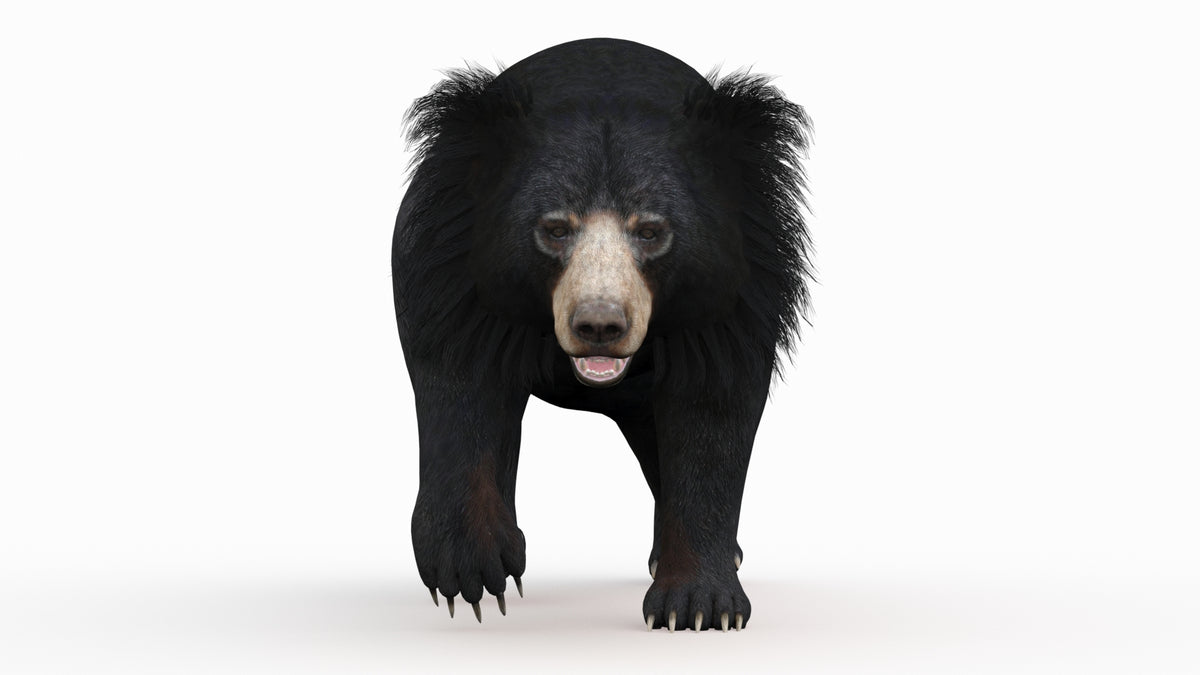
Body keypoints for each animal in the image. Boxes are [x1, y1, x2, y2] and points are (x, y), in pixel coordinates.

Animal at [392, 37, 811, 632]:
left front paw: (700, 605)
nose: (599, 326)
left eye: (653, 231)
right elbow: (459, 385)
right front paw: (471, 573)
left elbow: (713, 416)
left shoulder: (734, 297)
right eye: (554, 229)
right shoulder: (450, 272)